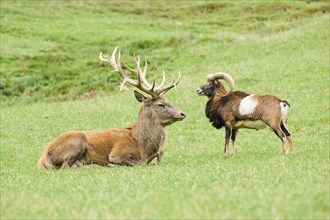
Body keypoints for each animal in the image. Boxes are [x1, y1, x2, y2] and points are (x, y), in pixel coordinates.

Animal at [38, 47, 186, 169]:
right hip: (76, 141)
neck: (142, 145)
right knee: (65, 167)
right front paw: (112, 164)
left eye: (169, 101)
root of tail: (42, 160)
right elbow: (139, 162)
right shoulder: (117, 153)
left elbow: (160, 154)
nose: (182, 113)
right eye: (160, 105)